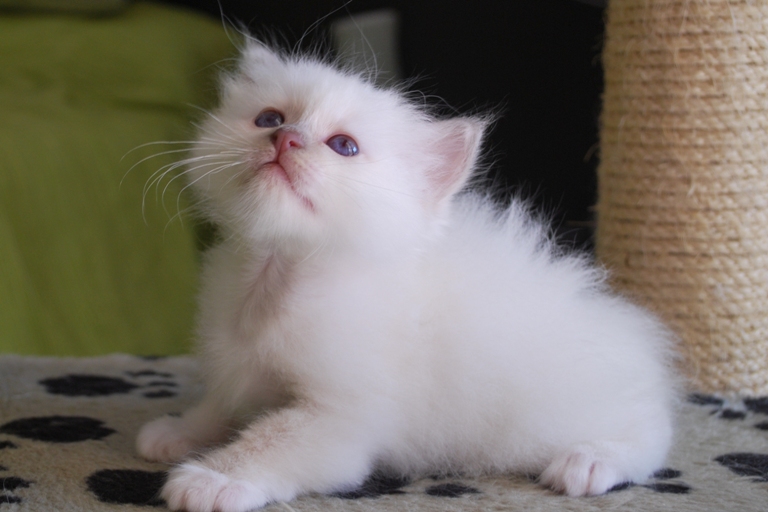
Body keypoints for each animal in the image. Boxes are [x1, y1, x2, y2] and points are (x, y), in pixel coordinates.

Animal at [136, 41, 680, 512]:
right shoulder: (238, 368)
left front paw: (213, 478)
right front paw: (179, 431)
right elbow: (220, 404)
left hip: (576, 406)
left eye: (343, 146)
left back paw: (590, 460)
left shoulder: (341, 418)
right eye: (269, 118)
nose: (285, 139)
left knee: (654, 433)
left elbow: (271, 440)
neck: (273, 278)